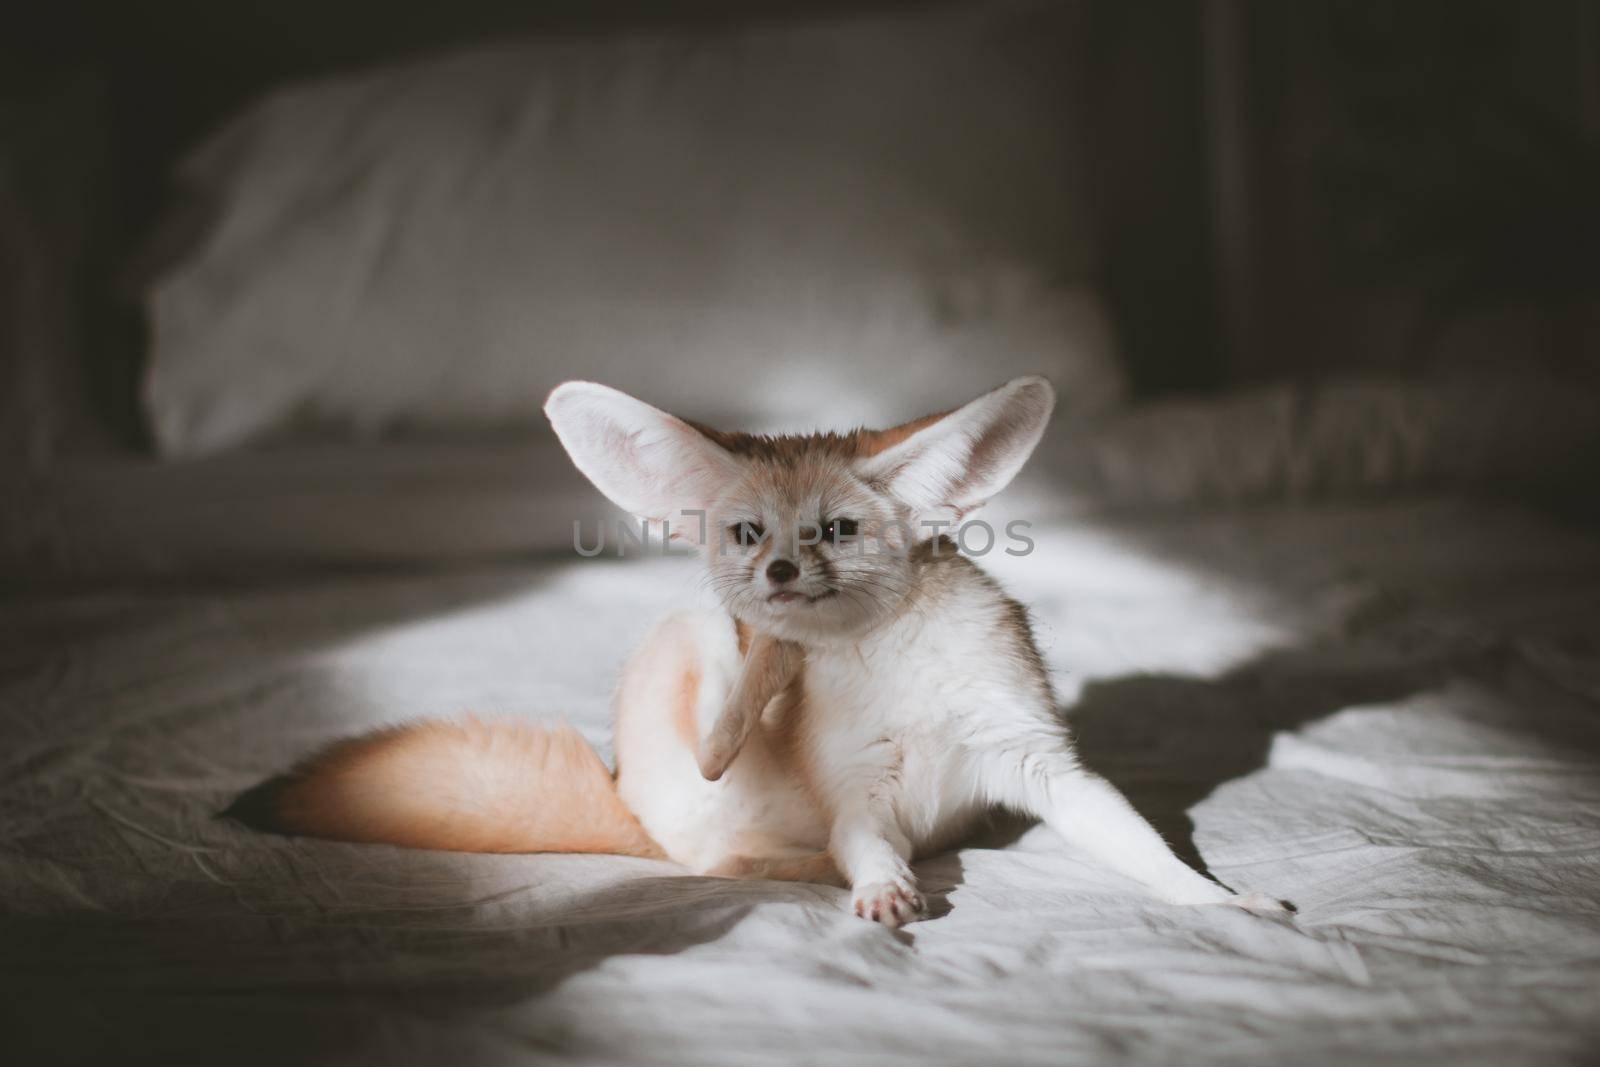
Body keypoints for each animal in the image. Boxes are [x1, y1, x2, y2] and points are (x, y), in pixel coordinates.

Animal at [233, 377, 1286, 927]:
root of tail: (620, 800)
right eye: (749, 534)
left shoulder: (1038, 761)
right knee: (717, 782)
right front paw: (883, 892)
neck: (894, 673)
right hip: (690, 649)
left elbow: (1145, 847)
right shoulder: (859, 797)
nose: (777, 574)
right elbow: (870, 851)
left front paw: (1225, 901)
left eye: (835, 530)